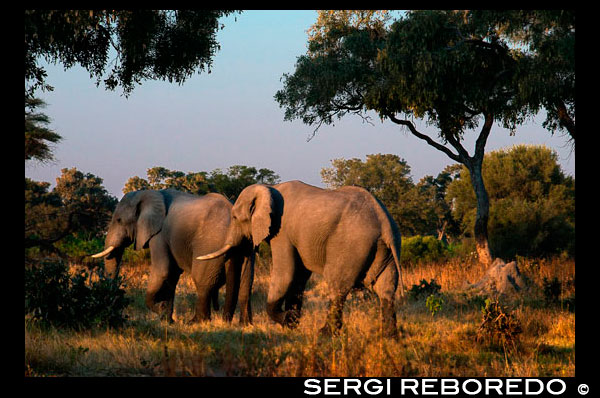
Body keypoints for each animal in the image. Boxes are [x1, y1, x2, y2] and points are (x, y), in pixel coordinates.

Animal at [91, 189, 253, 324]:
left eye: (119, 220)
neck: (147, 193)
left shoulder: (159, 235)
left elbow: (163, 271)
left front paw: (161, 312)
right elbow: (171, 276)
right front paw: (167, 320)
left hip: (210, 243)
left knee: (202, 281)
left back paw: (196, 322)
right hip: (244, 245)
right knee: (243, 280)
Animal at [197, 182, 404, 338]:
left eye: (234, 217)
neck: (269, 188)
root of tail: (385, 223)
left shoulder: (282, 231)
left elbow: (286, 272)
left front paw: (287, 320)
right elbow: (299, 277)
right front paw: (292, 323)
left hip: (351, 246)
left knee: (337, 286)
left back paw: (325, 333)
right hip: (386, 249)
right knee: (386, 289)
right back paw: (389, 336)